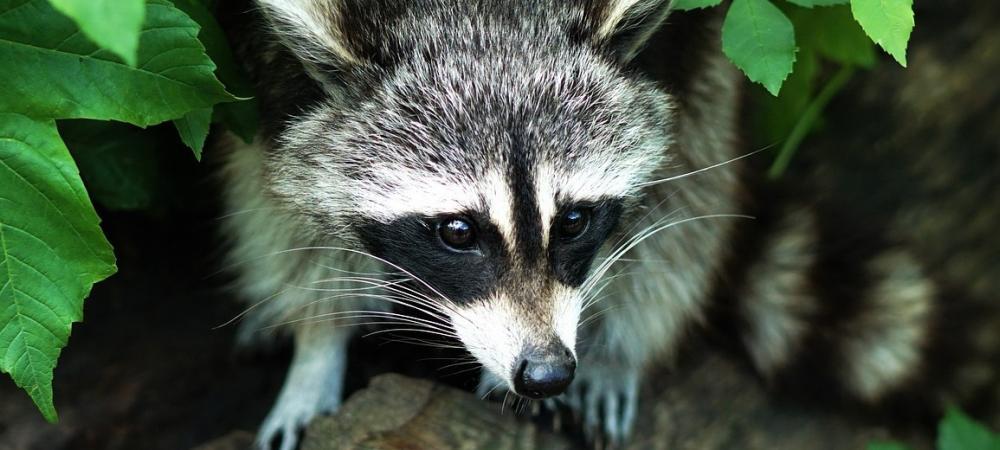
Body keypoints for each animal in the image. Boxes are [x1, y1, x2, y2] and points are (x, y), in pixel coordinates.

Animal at [215, 0, 999, 449]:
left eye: (574, 222)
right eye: (457, 232)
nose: (546, 371)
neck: (475, 17)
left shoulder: (683, 38)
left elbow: (675, 180)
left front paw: (609, 342)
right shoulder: (260, 62)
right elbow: (278, 195)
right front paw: (318, 343)